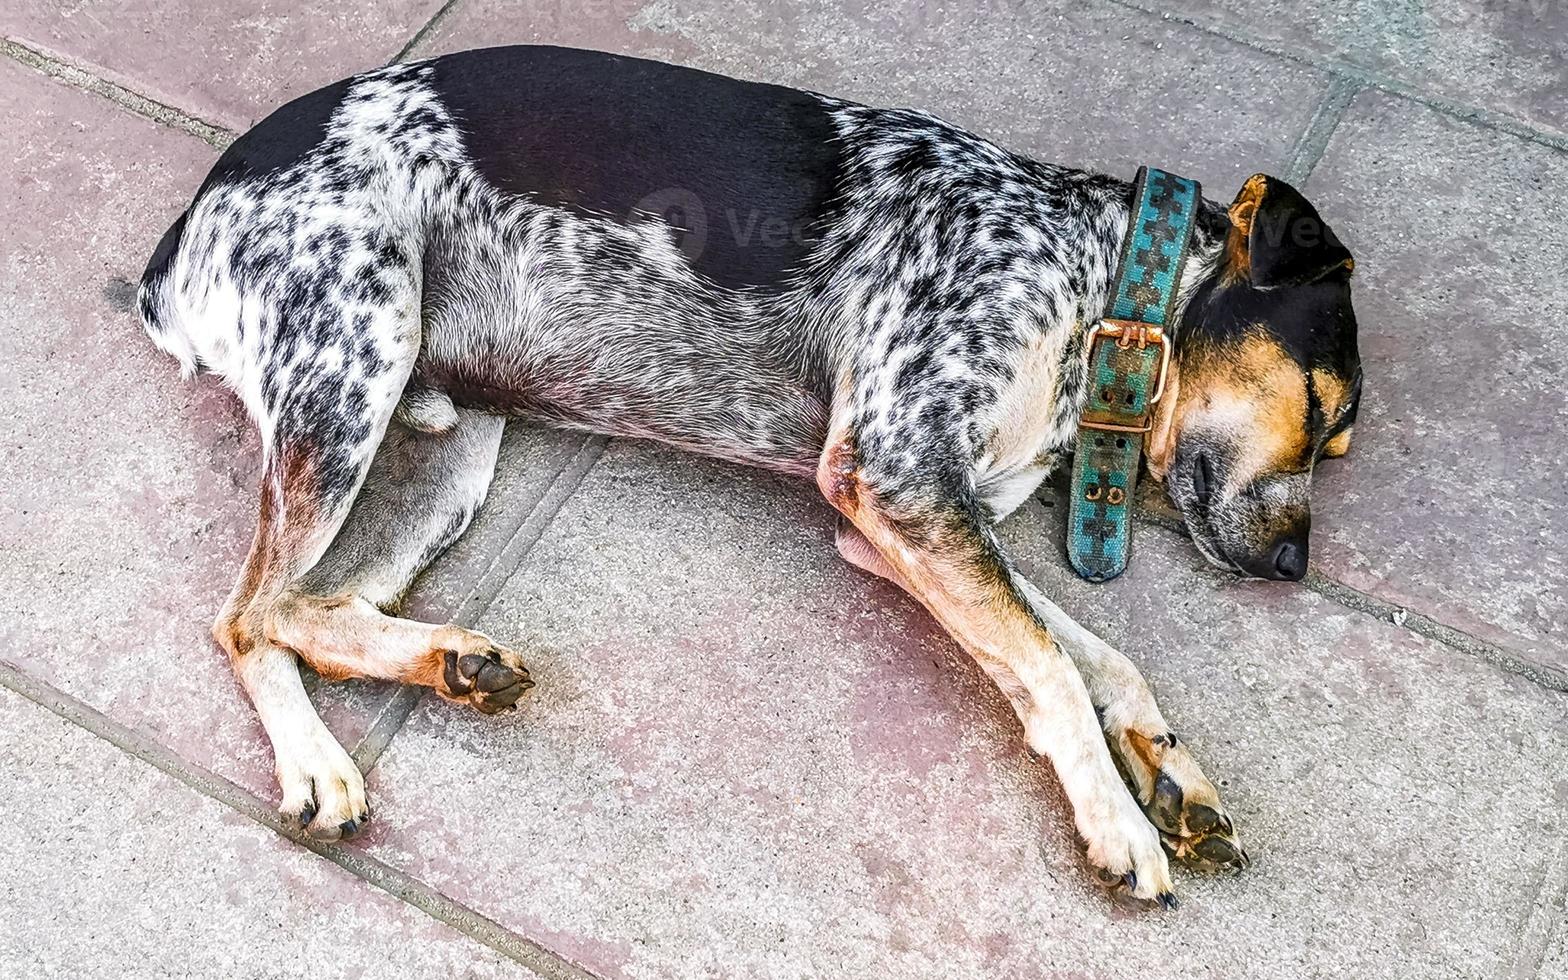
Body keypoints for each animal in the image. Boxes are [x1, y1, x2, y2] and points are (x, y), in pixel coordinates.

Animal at [134, 43, 1361, 903]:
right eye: (1326, 410)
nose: (1295, 568)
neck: (1100, 291)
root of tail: (183, 231)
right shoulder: (896, 476)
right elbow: (1053, 665)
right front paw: (1118, 819)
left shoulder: (901, 524)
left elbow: (1093, 655)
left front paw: (1170, 772)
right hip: (353, 364)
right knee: (247, 614)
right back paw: (316, 761)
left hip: (443, 442)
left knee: (317, 603)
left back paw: (453, 664)